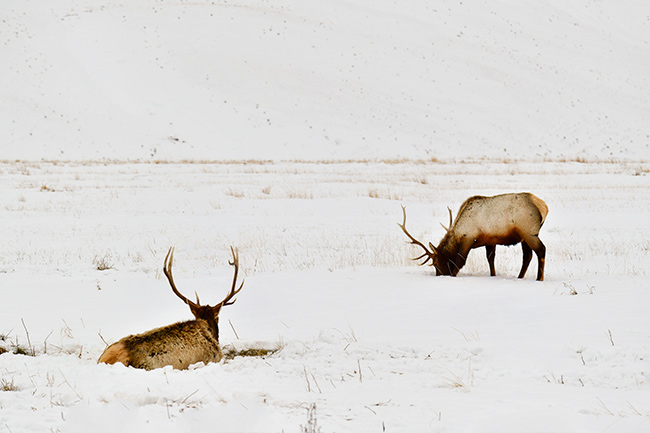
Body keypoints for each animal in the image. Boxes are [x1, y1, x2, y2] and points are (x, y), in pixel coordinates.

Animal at [398, 192, 544, 280]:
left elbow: (459, 261)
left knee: (541, 250)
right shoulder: (490, 240)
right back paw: (520, 277)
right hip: (524, 237)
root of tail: (543, 206)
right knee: (527, 256)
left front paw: (452, 276)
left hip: (529, 232)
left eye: (435, 263)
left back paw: (539, 278)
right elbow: (490, 260)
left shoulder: (468, 238)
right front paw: (493, 276)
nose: (440, 275)